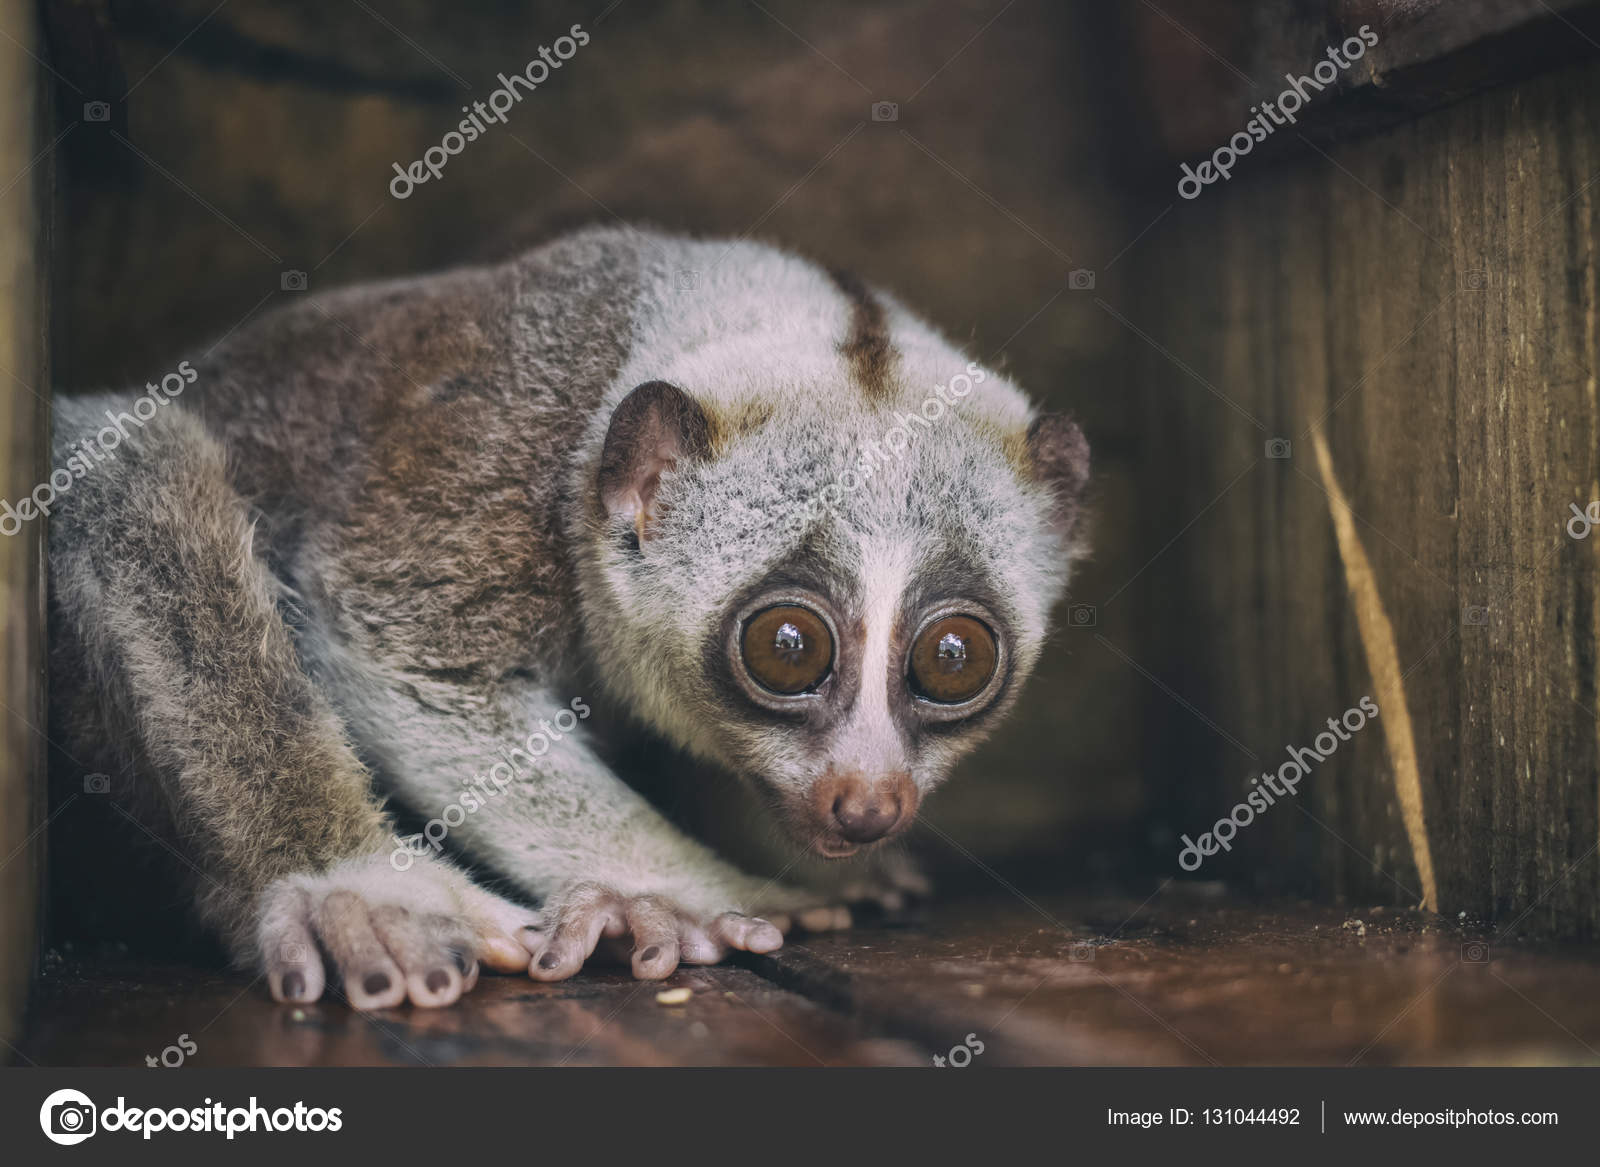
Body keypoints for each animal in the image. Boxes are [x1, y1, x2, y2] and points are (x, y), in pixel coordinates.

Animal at [45, 225, 1090, 1009]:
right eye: (787, 648)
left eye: (953, 658)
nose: (868, 801)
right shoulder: (484, 461)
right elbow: (408, 668)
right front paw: (680, 893)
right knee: (125, 464)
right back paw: (359, 892)